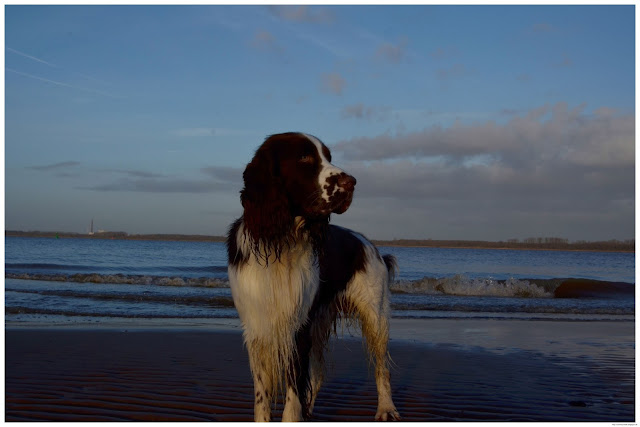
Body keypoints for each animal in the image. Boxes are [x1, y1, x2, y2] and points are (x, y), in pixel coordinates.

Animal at [226, 132, 399, 421]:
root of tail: (369, 245)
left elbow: (293, 396)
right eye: (304, 157)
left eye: (328, 156)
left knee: (381, 367)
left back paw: (386, 408)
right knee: (317, 374)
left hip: (374, 316)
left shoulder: (298, 328)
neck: (282, 241)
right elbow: (263, 397)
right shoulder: (258, 328)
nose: (351, 182)